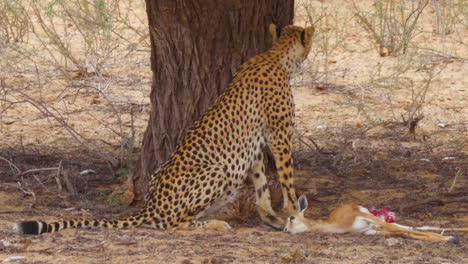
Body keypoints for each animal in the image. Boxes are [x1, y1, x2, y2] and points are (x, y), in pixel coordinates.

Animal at [14, 24, 314, 235]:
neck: (276, 55)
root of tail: (150, 204)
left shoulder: (256, 145)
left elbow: (262, 183)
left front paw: (272, 217)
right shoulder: (280, 138)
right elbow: (287, 179)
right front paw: (294, 214)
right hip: (218, 172)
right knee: (172, 223)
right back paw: (213, 224)